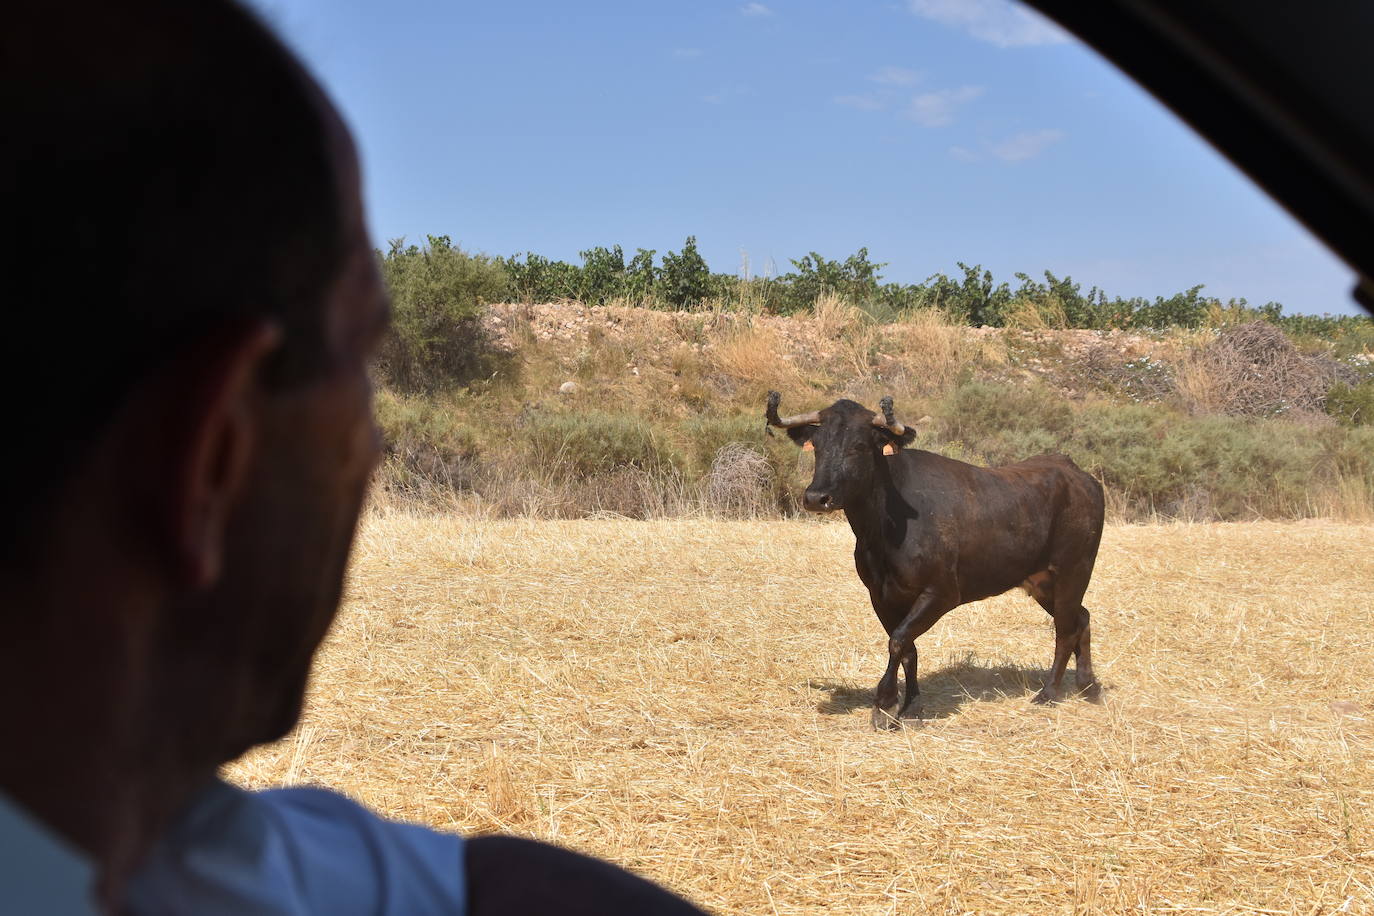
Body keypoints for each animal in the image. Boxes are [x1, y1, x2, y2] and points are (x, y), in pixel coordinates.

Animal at [763, 395, 1104, 730]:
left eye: (859, 445)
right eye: (818, 445)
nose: (816, 498)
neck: (883, 528)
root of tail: (1077, 473)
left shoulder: (941, 593)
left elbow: (898, 641)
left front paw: (885, 704)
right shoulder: (880, 595)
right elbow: (907, 648)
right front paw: (912, 707)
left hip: (1074, 571)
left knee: (1065, 629)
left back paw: (1049, 693)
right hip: (1043, 582)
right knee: (1081, 618)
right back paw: (1088, 686)